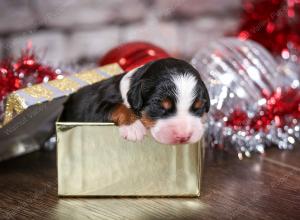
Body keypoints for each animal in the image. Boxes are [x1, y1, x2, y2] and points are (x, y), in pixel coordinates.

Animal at [61, 58, 209, 144]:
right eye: (160, 107)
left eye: (198, 107)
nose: (184, 136)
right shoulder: (95, 109)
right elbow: (117, 106)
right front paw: (133, 127)